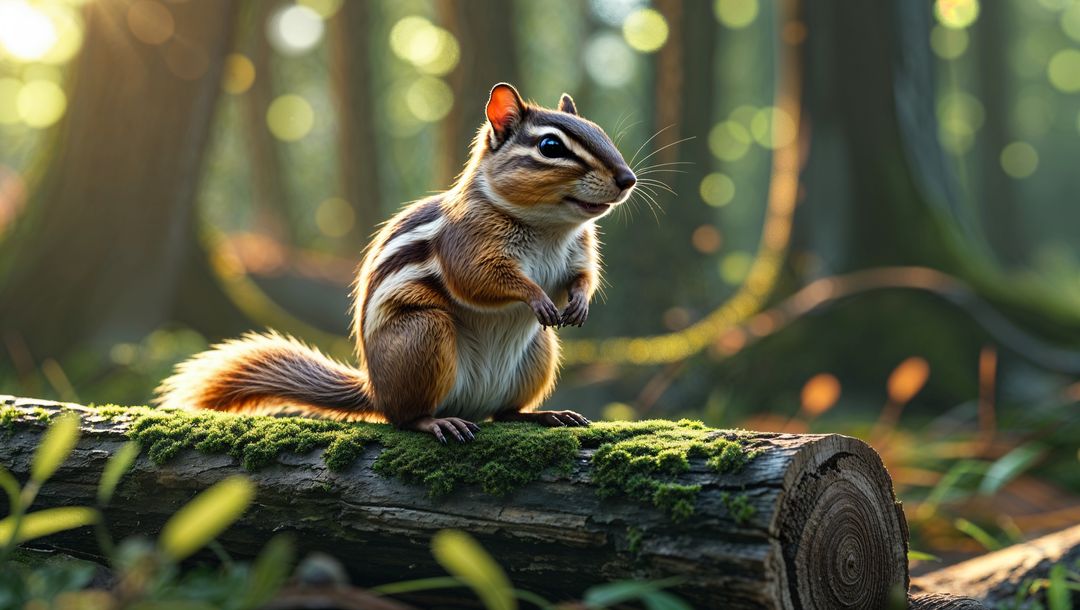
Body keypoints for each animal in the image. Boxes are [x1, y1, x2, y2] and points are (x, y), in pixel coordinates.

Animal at [155, 83, 637, 442]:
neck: (547, 227)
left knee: (502, 413)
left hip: (539, 351)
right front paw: (536, 297)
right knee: (404, 418)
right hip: (425, 333)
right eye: (551, 146)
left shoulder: (580, 250)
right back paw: (436, 421)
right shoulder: (467, 244)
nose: (627, 178)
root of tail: (374, 388)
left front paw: (578, 303)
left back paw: (544, 415)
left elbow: (583, 277)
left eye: (598, 131)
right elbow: (480, 280)